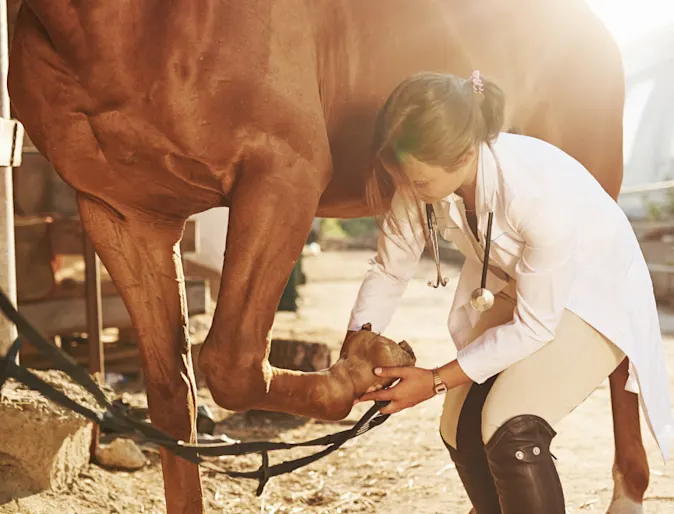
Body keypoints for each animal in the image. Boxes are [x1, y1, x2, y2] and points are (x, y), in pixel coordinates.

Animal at [5, 0, 644, 510]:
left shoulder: (283, 172)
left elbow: (231, 363)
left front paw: (366, 364)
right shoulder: (122, 215)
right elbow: (172, 398)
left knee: (619, 354)